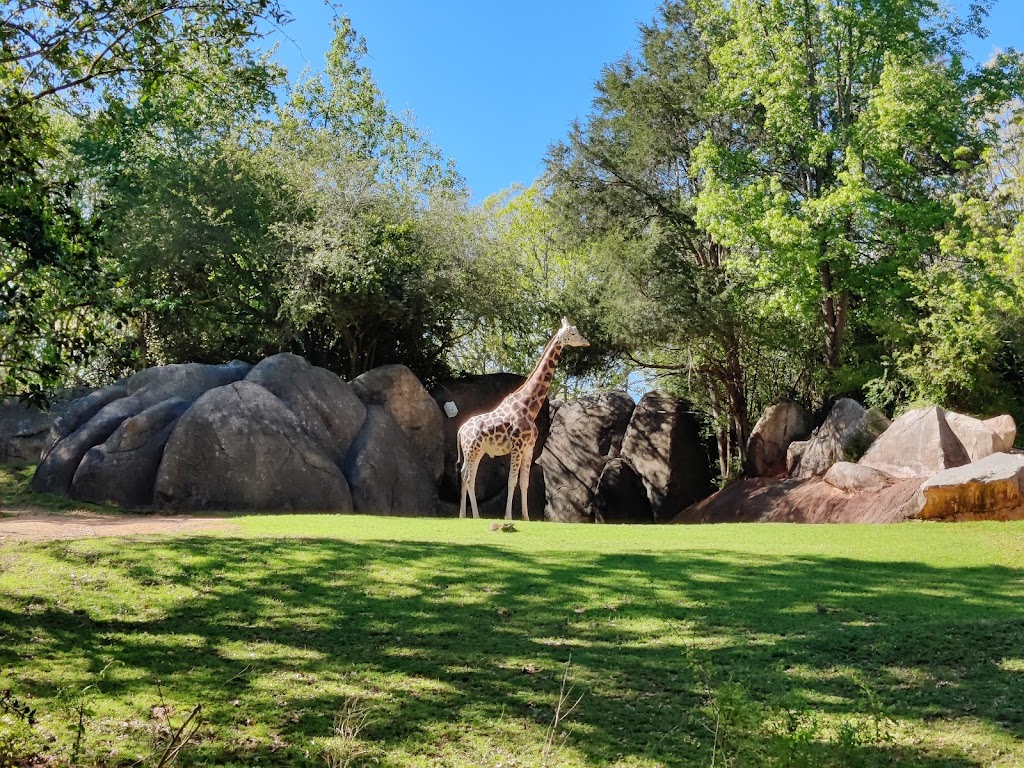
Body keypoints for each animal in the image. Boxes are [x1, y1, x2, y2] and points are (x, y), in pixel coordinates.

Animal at [458, 315, 593, 520]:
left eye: (577, 331)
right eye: (572, 333)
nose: (586, 342)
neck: (528, 407)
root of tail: (460, 430)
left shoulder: (529, 448)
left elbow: (524, 482)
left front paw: (526, 517)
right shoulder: (517, 446)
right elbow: (512, 481)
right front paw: (508, 516)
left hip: (473, 451)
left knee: (464, 474)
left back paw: (462, 515)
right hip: (474, 449)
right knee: (468, 477)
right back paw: (475, 515)